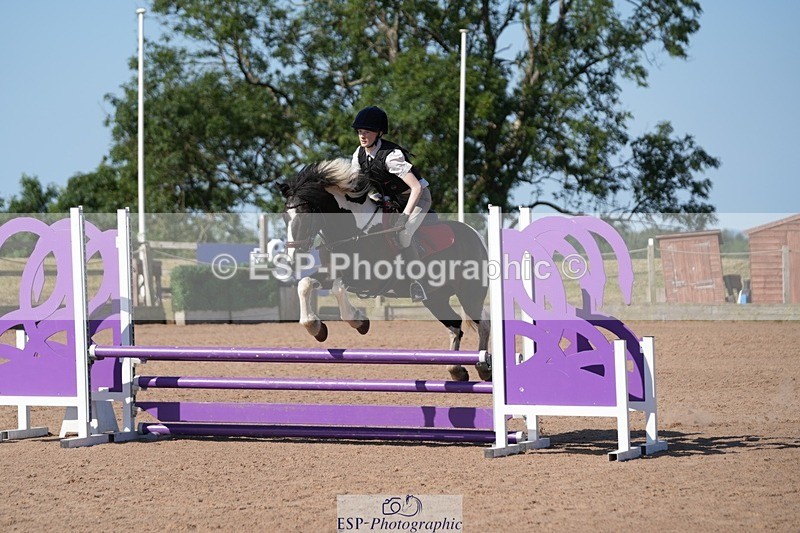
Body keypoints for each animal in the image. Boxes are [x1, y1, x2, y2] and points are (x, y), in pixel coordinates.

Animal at [278, 159, 491, 381]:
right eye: (285, 217)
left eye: (305, 216)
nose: (293, 260)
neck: (353, 232)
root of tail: (475, 235)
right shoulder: (332, 273)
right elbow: (305, 284)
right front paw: (315, 327)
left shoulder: (368, 280)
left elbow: (338, 288)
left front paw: (359, 322)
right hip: (436, 298)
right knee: (455, 324)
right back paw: (456, 370)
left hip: (469, 293)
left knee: (483, 322)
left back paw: (483, 366)